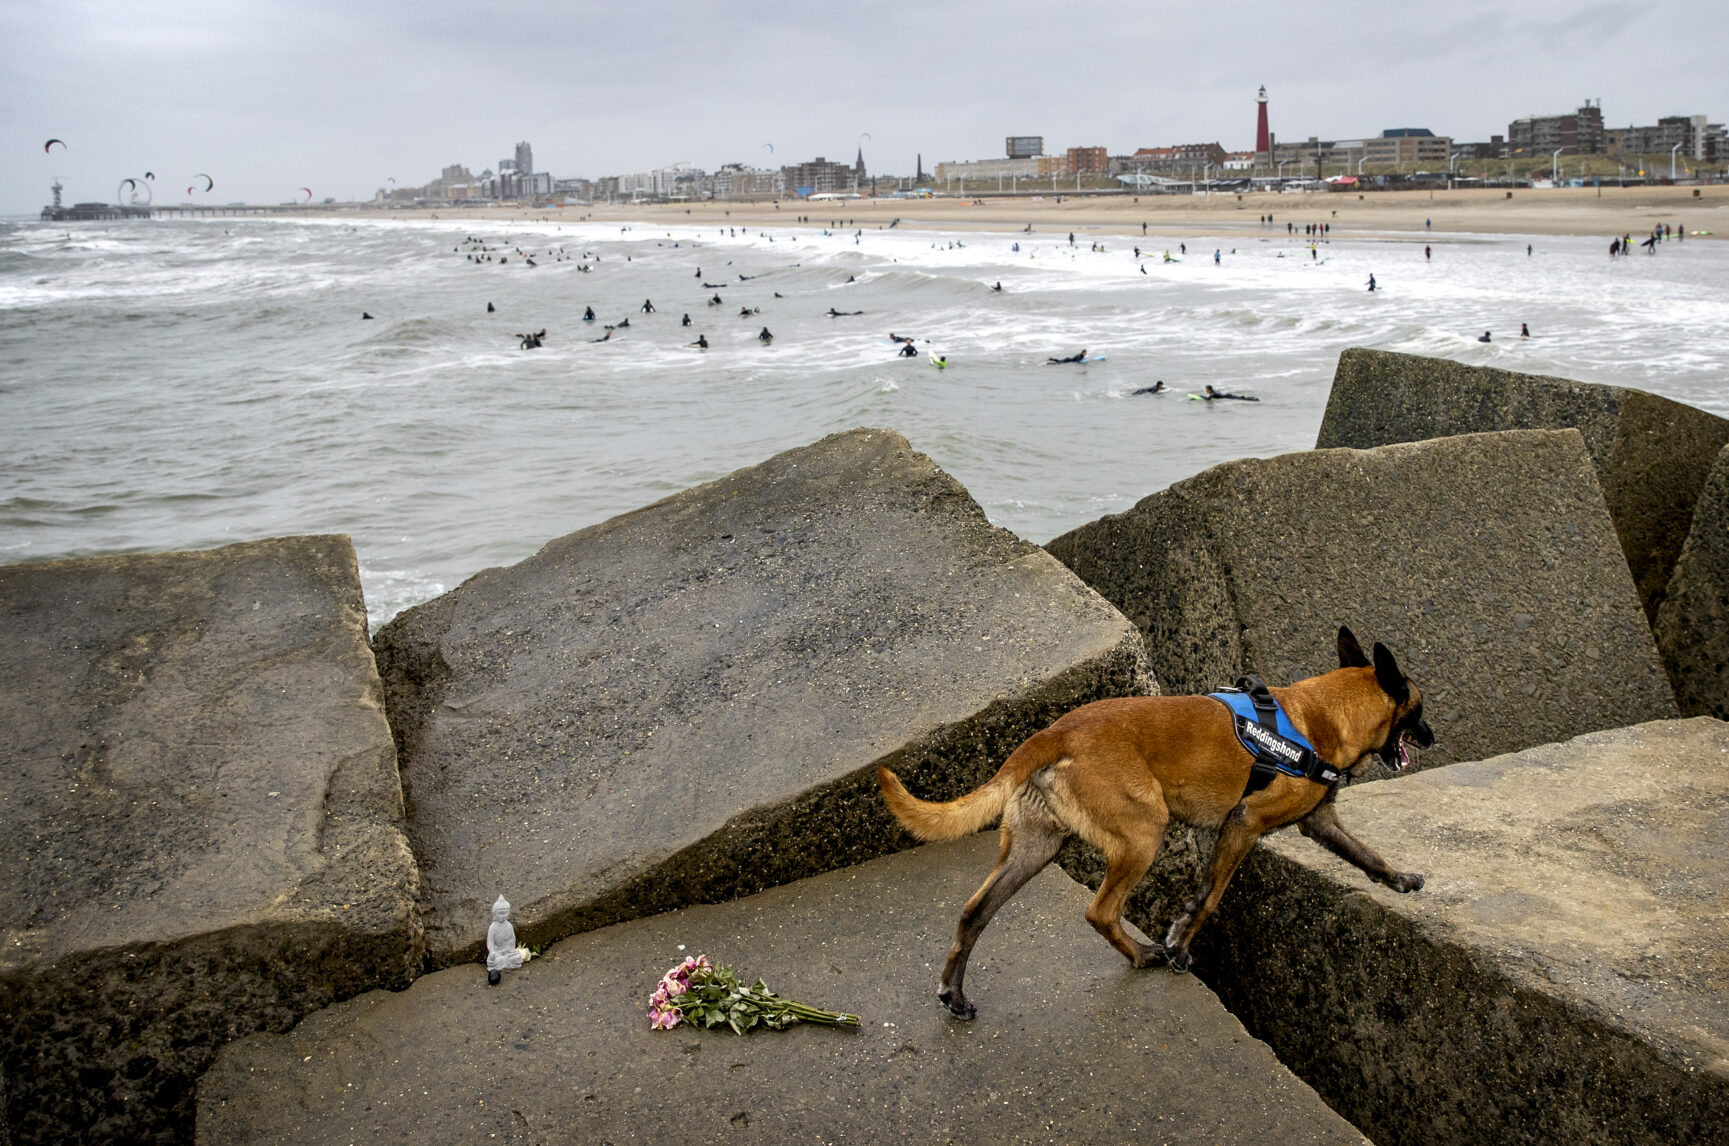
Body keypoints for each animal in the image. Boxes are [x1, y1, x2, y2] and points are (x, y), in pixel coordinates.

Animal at [878, 629, 1431, 1023]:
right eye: (1419, 709)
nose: (1431, 735)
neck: (1322, 717)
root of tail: (1054, 732)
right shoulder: (1243, 824)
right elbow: (1209, 899)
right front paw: (1179, 946)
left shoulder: (1319, 822)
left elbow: (1368, 855)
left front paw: (1401, 880)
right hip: (1145, 834)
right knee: (1100, 911)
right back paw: (1144, 957)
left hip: (1034, 847)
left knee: (975, 912)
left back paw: (954, 993)